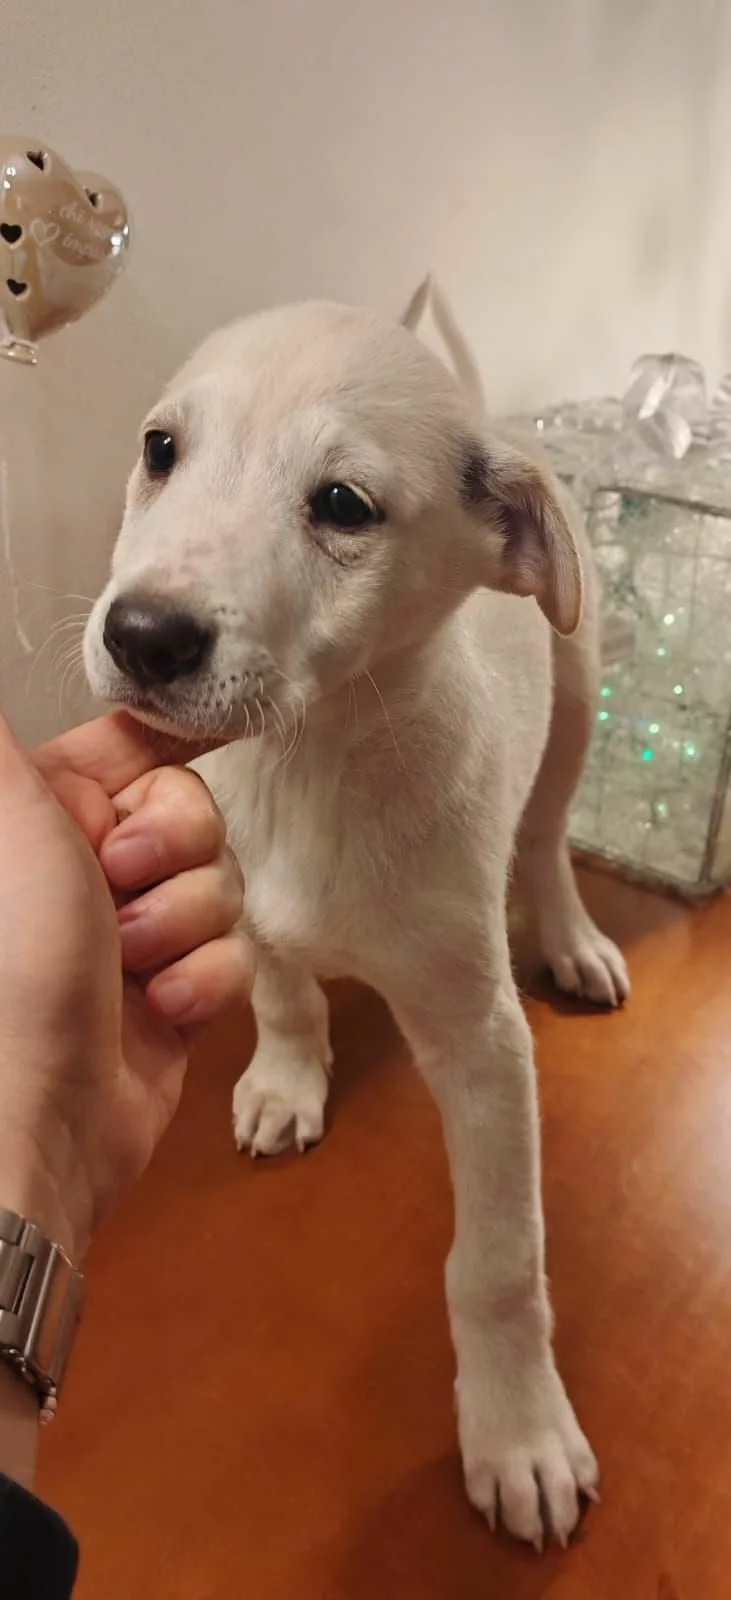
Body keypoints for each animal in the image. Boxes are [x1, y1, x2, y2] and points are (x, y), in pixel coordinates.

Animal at [84, 281, 629, 1549]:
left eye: (342, 504)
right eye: (160, 449)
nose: (142, 636)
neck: (312, 761)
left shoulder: (479, 1041)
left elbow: (497, 1264)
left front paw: (516, 1434)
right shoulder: (239, 887)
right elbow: (282, 992)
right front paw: (286, 1083)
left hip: (576, 701)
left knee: (545, 841)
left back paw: (572, 937)